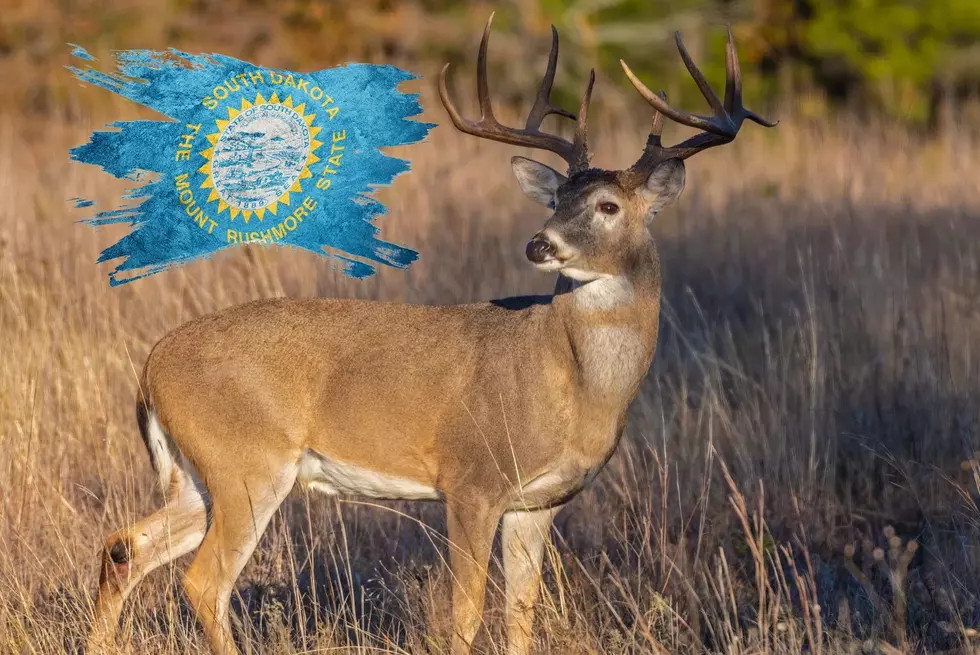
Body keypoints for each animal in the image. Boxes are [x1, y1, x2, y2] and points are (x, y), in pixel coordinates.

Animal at [87, 13, 775, 655]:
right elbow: (465, 614)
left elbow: (520, 614)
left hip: (196, 474)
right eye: (555, 201)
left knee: (124, 546)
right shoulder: (472, 480)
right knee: (203, 582)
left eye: (608, 206)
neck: (572, 383)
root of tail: (151, 366)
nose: (539, 243)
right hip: (245, 461)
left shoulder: (536, 504)